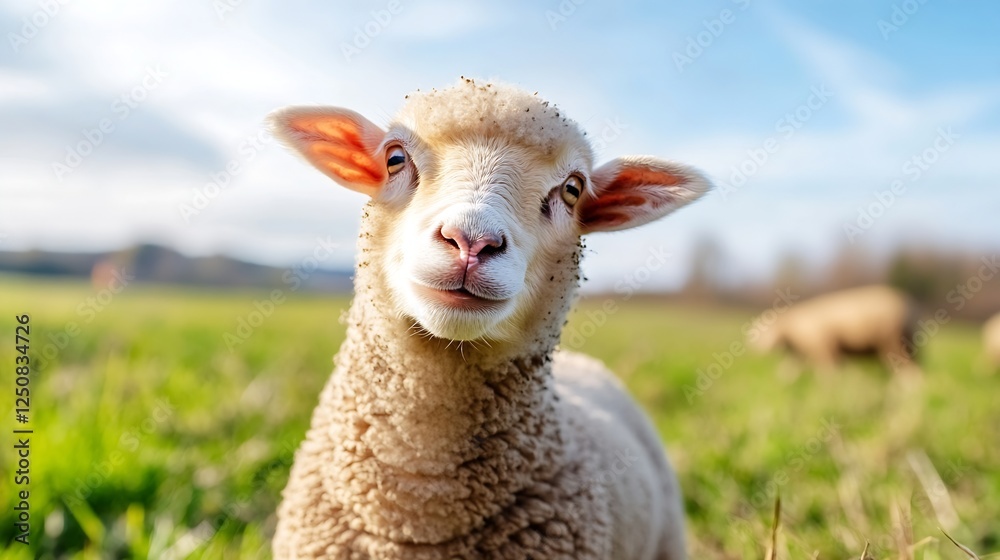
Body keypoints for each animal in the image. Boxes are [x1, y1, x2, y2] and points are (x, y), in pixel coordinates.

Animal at [747, 285, 920, 374]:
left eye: (763, 332)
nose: (755, 350)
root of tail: (910, 306)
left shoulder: (822, 348)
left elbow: (828, 373)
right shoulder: (801, 353)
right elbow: (787, 371)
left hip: (893, 341)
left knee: (908, 371)